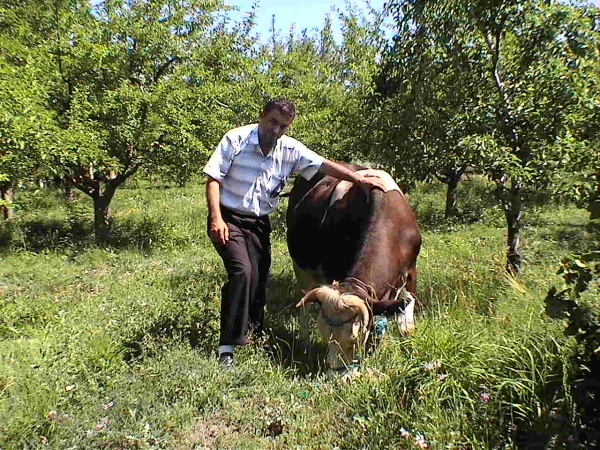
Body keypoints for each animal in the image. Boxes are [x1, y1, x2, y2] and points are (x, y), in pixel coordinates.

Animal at [288, 163, 422, 376]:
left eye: (355, 337)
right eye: (323, 335)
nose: (335, 374)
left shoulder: (410, 272)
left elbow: (404, 319)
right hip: (300, 265)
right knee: (304, 304)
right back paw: (304, 341)